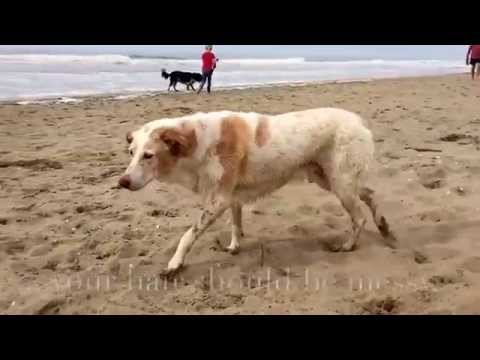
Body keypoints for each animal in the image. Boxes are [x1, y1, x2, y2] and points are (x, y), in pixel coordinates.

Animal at [120, 108, 398, 278]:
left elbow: (188, 235)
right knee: (370, 194)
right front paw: (234, 246)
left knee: (359, 217)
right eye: (131, 152)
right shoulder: (231, 197)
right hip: (331, 179)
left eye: (148, 155)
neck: (197, 142)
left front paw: (174, 264)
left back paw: (349, 245)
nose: (122, 182)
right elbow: (235, 224)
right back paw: (384, 227)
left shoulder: (219, 200)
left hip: (340, 183)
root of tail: (358, 121)